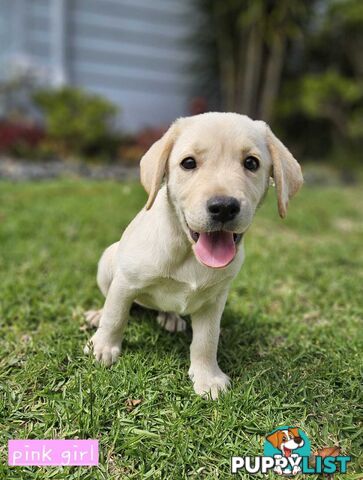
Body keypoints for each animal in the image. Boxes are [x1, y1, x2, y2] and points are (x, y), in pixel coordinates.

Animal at [84, 111, 302, 398]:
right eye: (188, 163)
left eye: (251, 163)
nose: (224, 207)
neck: (188, 252)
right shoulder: (126, 281)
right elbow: (116, 315)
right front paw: (103, 347)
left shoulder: (214, 301)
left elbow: (206, 341)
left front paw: (207, 377)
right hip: (108, 259)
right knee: (109, 300)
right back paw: (97, 315)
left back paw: (171, 317)